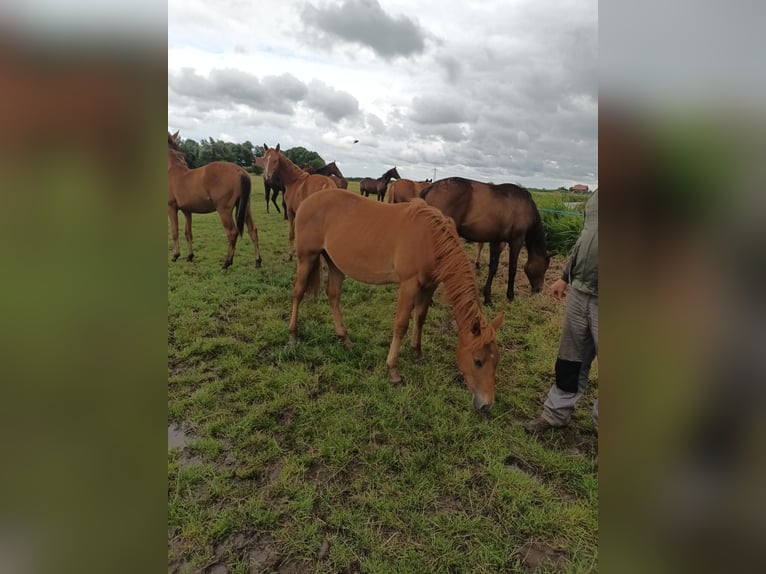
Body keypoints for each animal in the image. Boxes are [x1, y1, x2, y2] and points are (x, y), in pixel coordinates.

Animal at [168, 133, 264, 270]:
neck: (173, 170)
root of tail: (240, 170)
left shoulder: (171, 207)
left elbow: (175, 231)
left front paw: (175, 256)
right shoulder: (187, 211)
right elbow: (188, 233)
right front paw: (190, 256)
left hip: (224, 210)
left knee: (232, 233)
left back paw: (227, 262)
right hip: (246, 207)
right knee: (253, 231)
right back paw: (257, 261)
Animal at [288, 191, 504, 412]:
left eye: (496, 361)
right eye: (477, 361)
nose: (487, 405)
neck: (431, 239)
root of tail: (307, 201)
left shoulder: (429, 286)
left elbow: (420, 318)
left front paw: (417, 353)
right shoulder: (409, 285)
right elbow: (401, 325)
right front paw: (393, 372)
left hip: (335, 264)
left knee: (333, 296)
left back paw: (344, 338)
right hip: (307, 257)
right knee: (298, 293)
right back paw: (293, 335)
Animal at [420, 178, 552, 306]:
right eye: (544, 267)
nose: (539, 289)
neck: (525, 206)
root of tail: (431, 187)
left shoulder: (496, 241)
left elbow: (493, 267)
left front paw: (487, 298)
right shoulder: (516, 241)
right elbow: (512, 269)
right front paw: (510, 295)